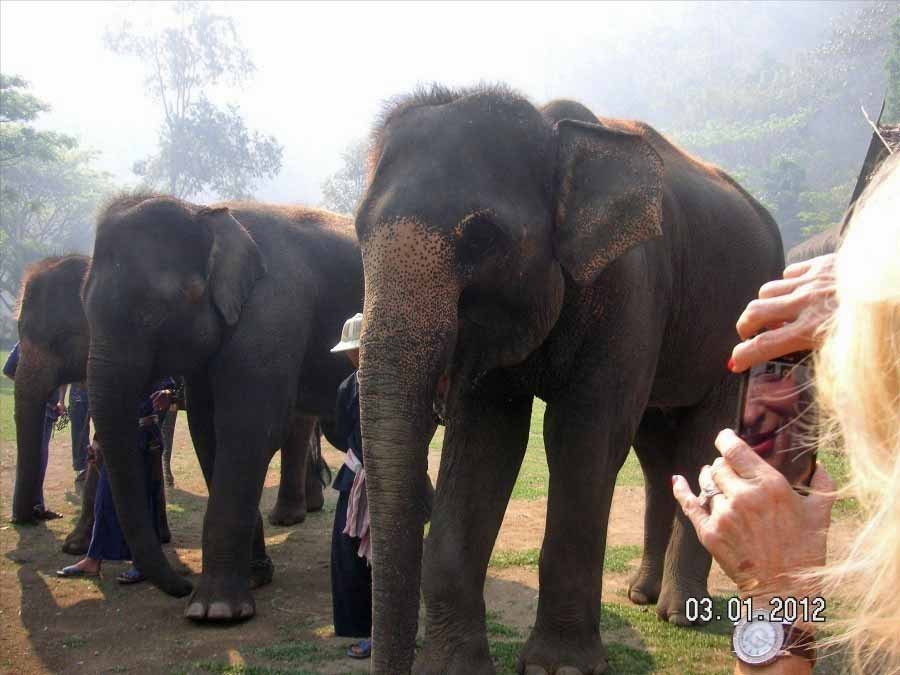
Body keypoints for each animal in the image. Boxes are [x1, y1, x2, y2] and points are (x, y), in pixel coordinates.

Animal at [82, 195, 364, 624]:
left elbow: (250, 429)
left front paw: (214, 611)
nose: (181, 585)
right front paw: (256, 578)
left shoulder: (272, 312)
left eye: (150, 315)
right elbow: (207, 430)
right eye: (84, 308)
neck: (203, 212)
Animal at [348, 87, 784, 672]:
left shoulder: (631, 287)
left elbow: (583, 437)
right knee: (654, 453)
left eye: (482, 238)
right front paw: (453, 667)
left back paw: (678, 612)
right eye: (357, 233)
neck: (550, 127)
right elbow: (487, 442)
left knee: (700, 440)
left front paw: (561, 665)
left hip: (737, 329)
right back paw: (641, 595)